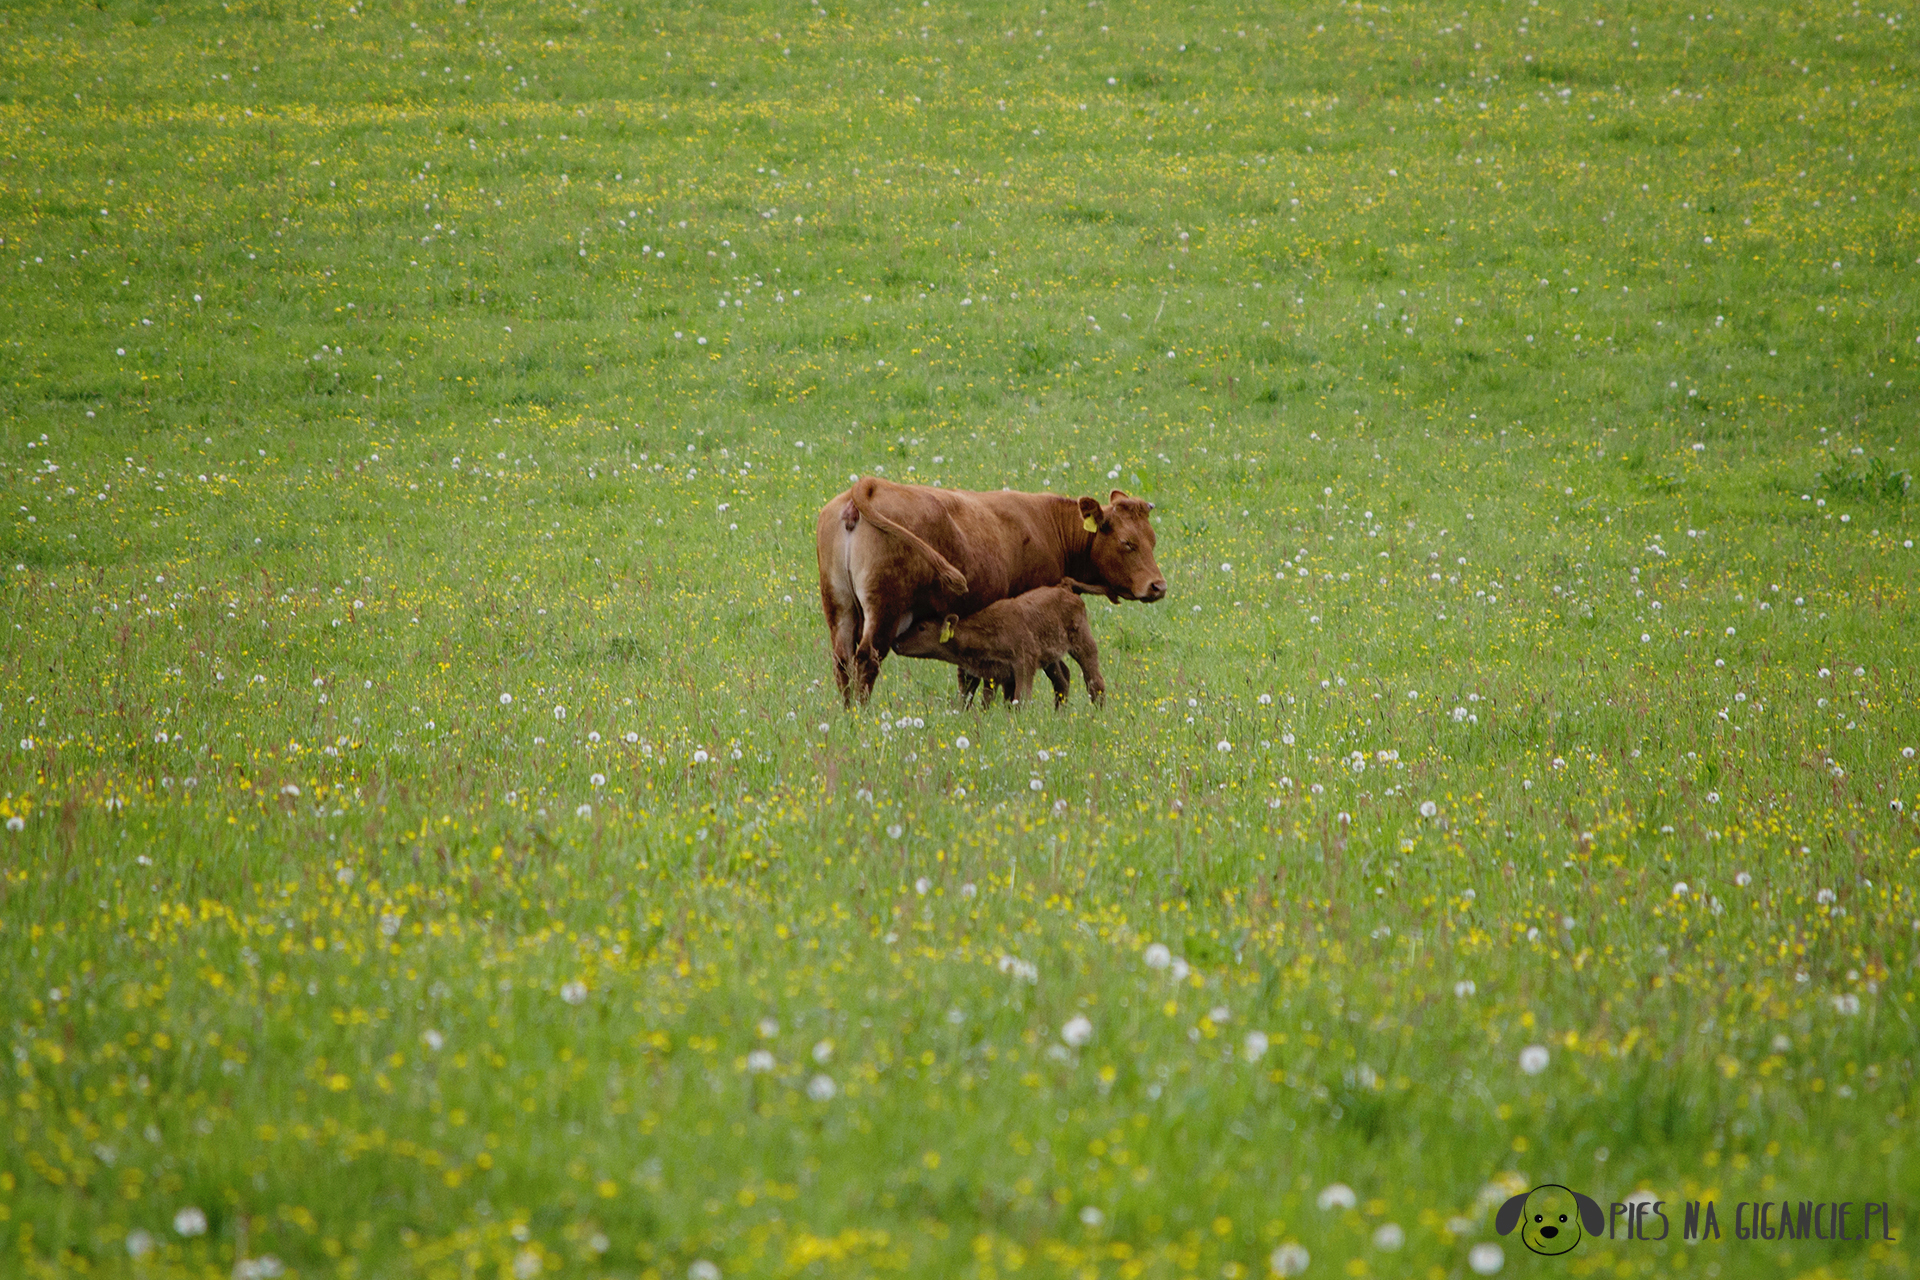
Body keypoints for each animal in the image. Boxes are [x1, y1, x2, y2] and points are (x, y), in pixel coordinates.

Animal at [814, 475, 1159, 706]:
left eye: (1153, 540)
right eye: (1127, 543)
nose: (1158, 586)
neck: (1047, 526)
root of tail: (869, 486)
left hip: (840, 608)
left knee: (842, 661)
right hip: (884, 611)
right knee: (866, 659)